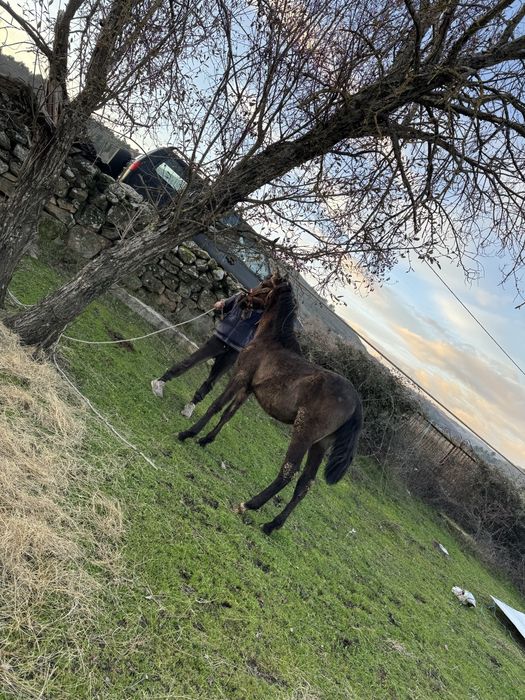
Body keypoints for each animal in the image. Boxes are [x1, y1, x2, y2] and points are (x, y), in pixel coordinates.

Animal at [178, 275, 363, 534]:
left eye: (264, 285)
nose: (242, 298)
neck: (270, 341)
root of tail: (356, 402)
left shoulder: (240, 376)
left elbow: (216, 405)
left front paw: (189, 433)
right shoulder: (248, 388)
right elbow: (228, 413)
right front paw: (206, 439)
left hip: (304, 434)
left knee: (289, 471)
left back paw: (248, 505)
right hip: (320, 444)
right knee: (306, 484)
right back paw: (272, 525)